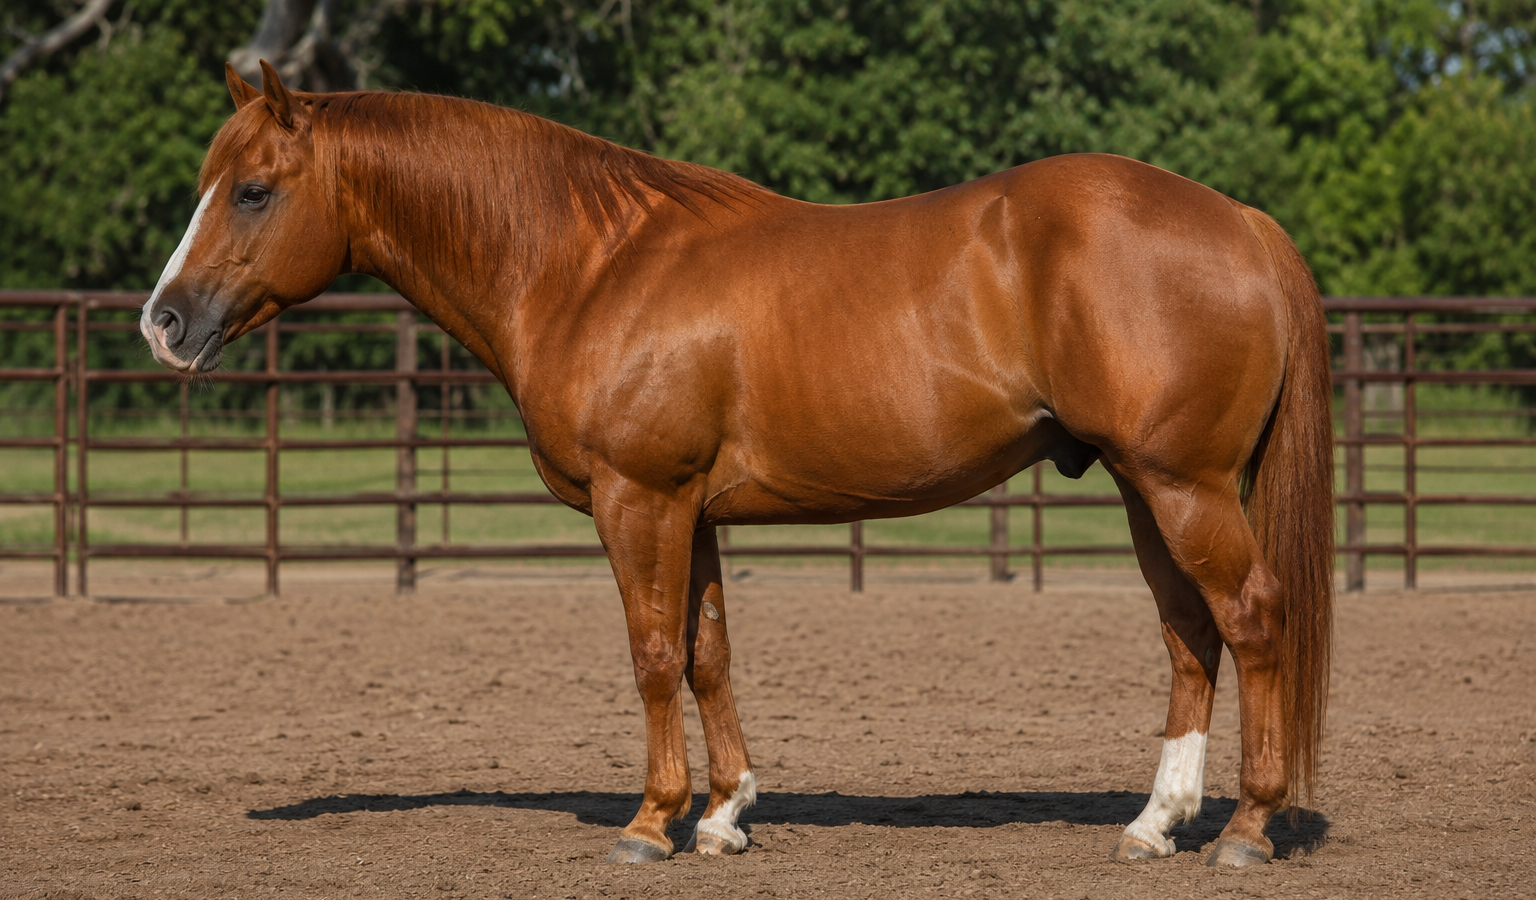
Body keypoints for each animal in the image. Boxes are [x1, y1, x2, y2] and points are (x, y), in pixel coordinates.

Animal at [141, 61, 1334, 868]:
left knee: (1252, 620)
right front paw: (722, 816)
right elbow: (708, 654)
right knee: (1190, 637)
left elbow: (651, 657)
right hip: (1145, 486)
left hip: (1181, 485)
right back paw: (1154, 824)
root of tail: (1241, 221)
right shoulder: (694, 511)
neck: (590, 266)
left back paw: (1245, 827)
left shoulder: (638, 501)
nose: (164, 321)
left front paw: (648, 823)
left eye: (253, 189)